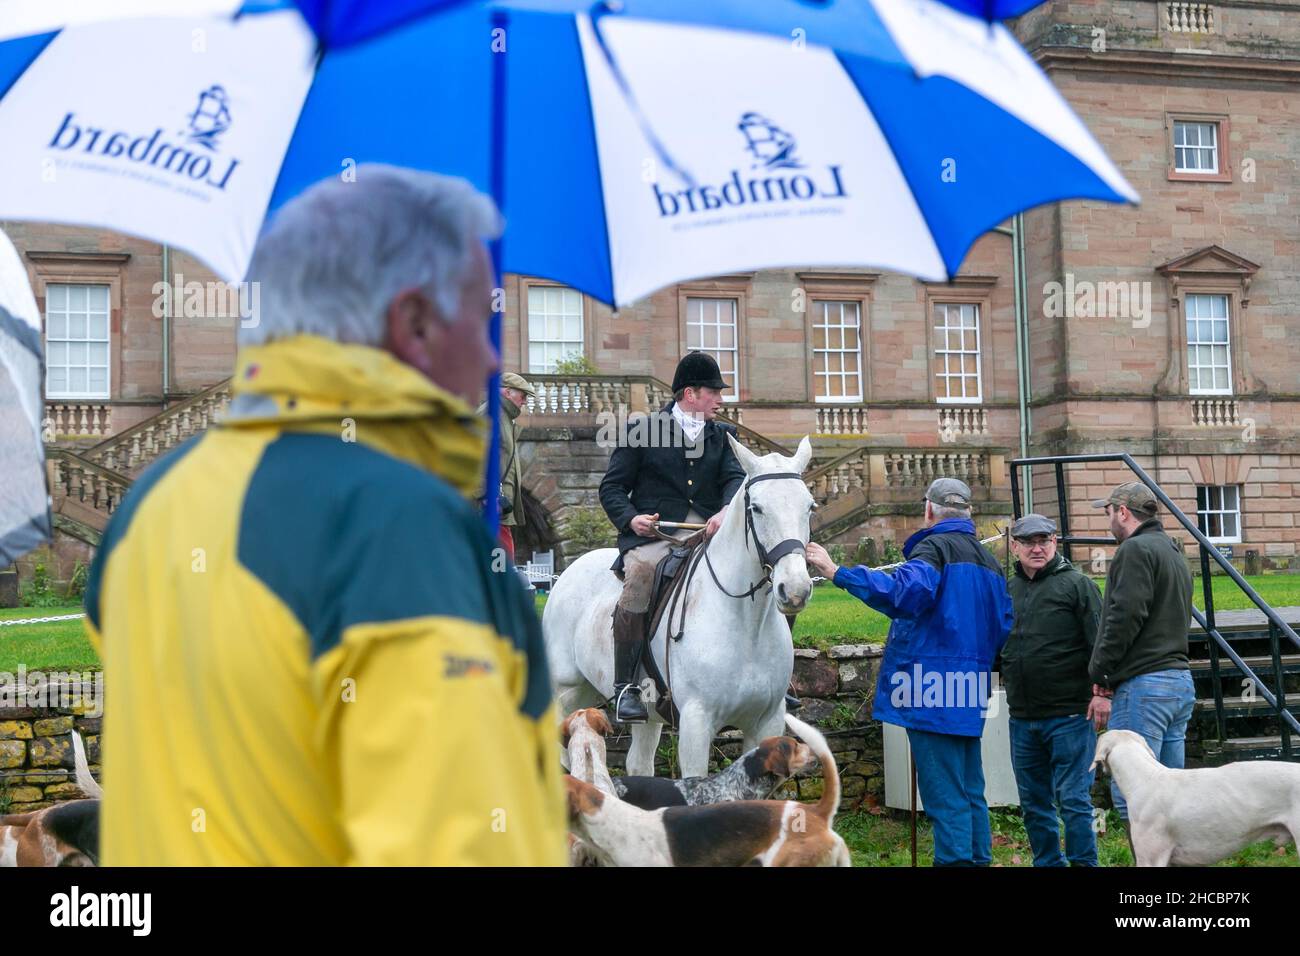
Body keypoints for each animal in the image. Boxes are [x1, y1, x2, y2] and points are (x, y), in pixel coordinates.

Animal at [546, 434, 811, 780]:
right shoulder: (697, 724)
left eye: (810, 506)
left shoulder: (766, 723)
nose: (795, 589)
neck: (746, 624)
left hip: (618, 702)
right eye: (757, 508)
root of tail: (567, 573)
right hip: (563, 689)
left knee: (638, 763)